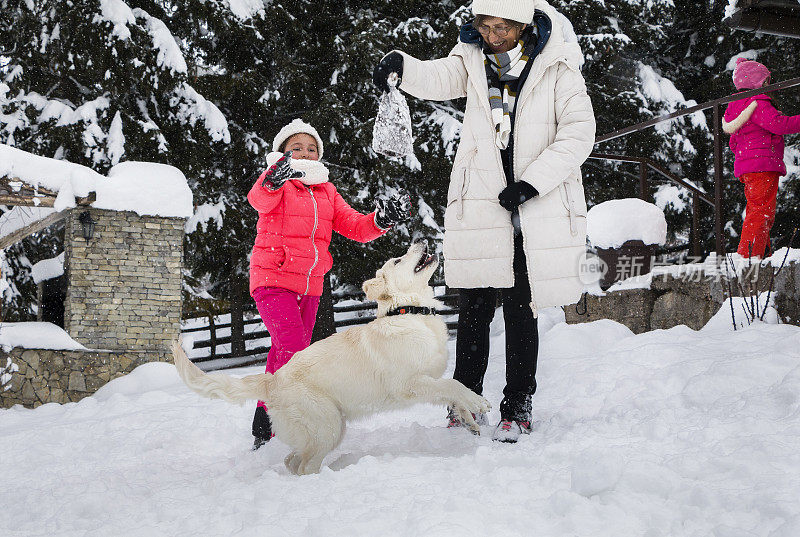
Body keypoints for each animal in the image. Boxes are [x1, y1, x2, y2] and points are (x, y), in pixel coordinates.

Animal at [172, 243, 490, 474]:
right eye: (399, 260)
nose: (421, 241)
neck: (410, 312)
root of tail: (272, 380)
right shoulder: (410, 384)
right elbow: (454, 386)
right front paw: (478, 403)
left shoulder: (430, 380)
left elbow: (453, 391)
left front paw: (469, 421)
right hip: (328, 426)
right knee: (303, 466)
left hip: (327, 429)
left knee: (292, 460)